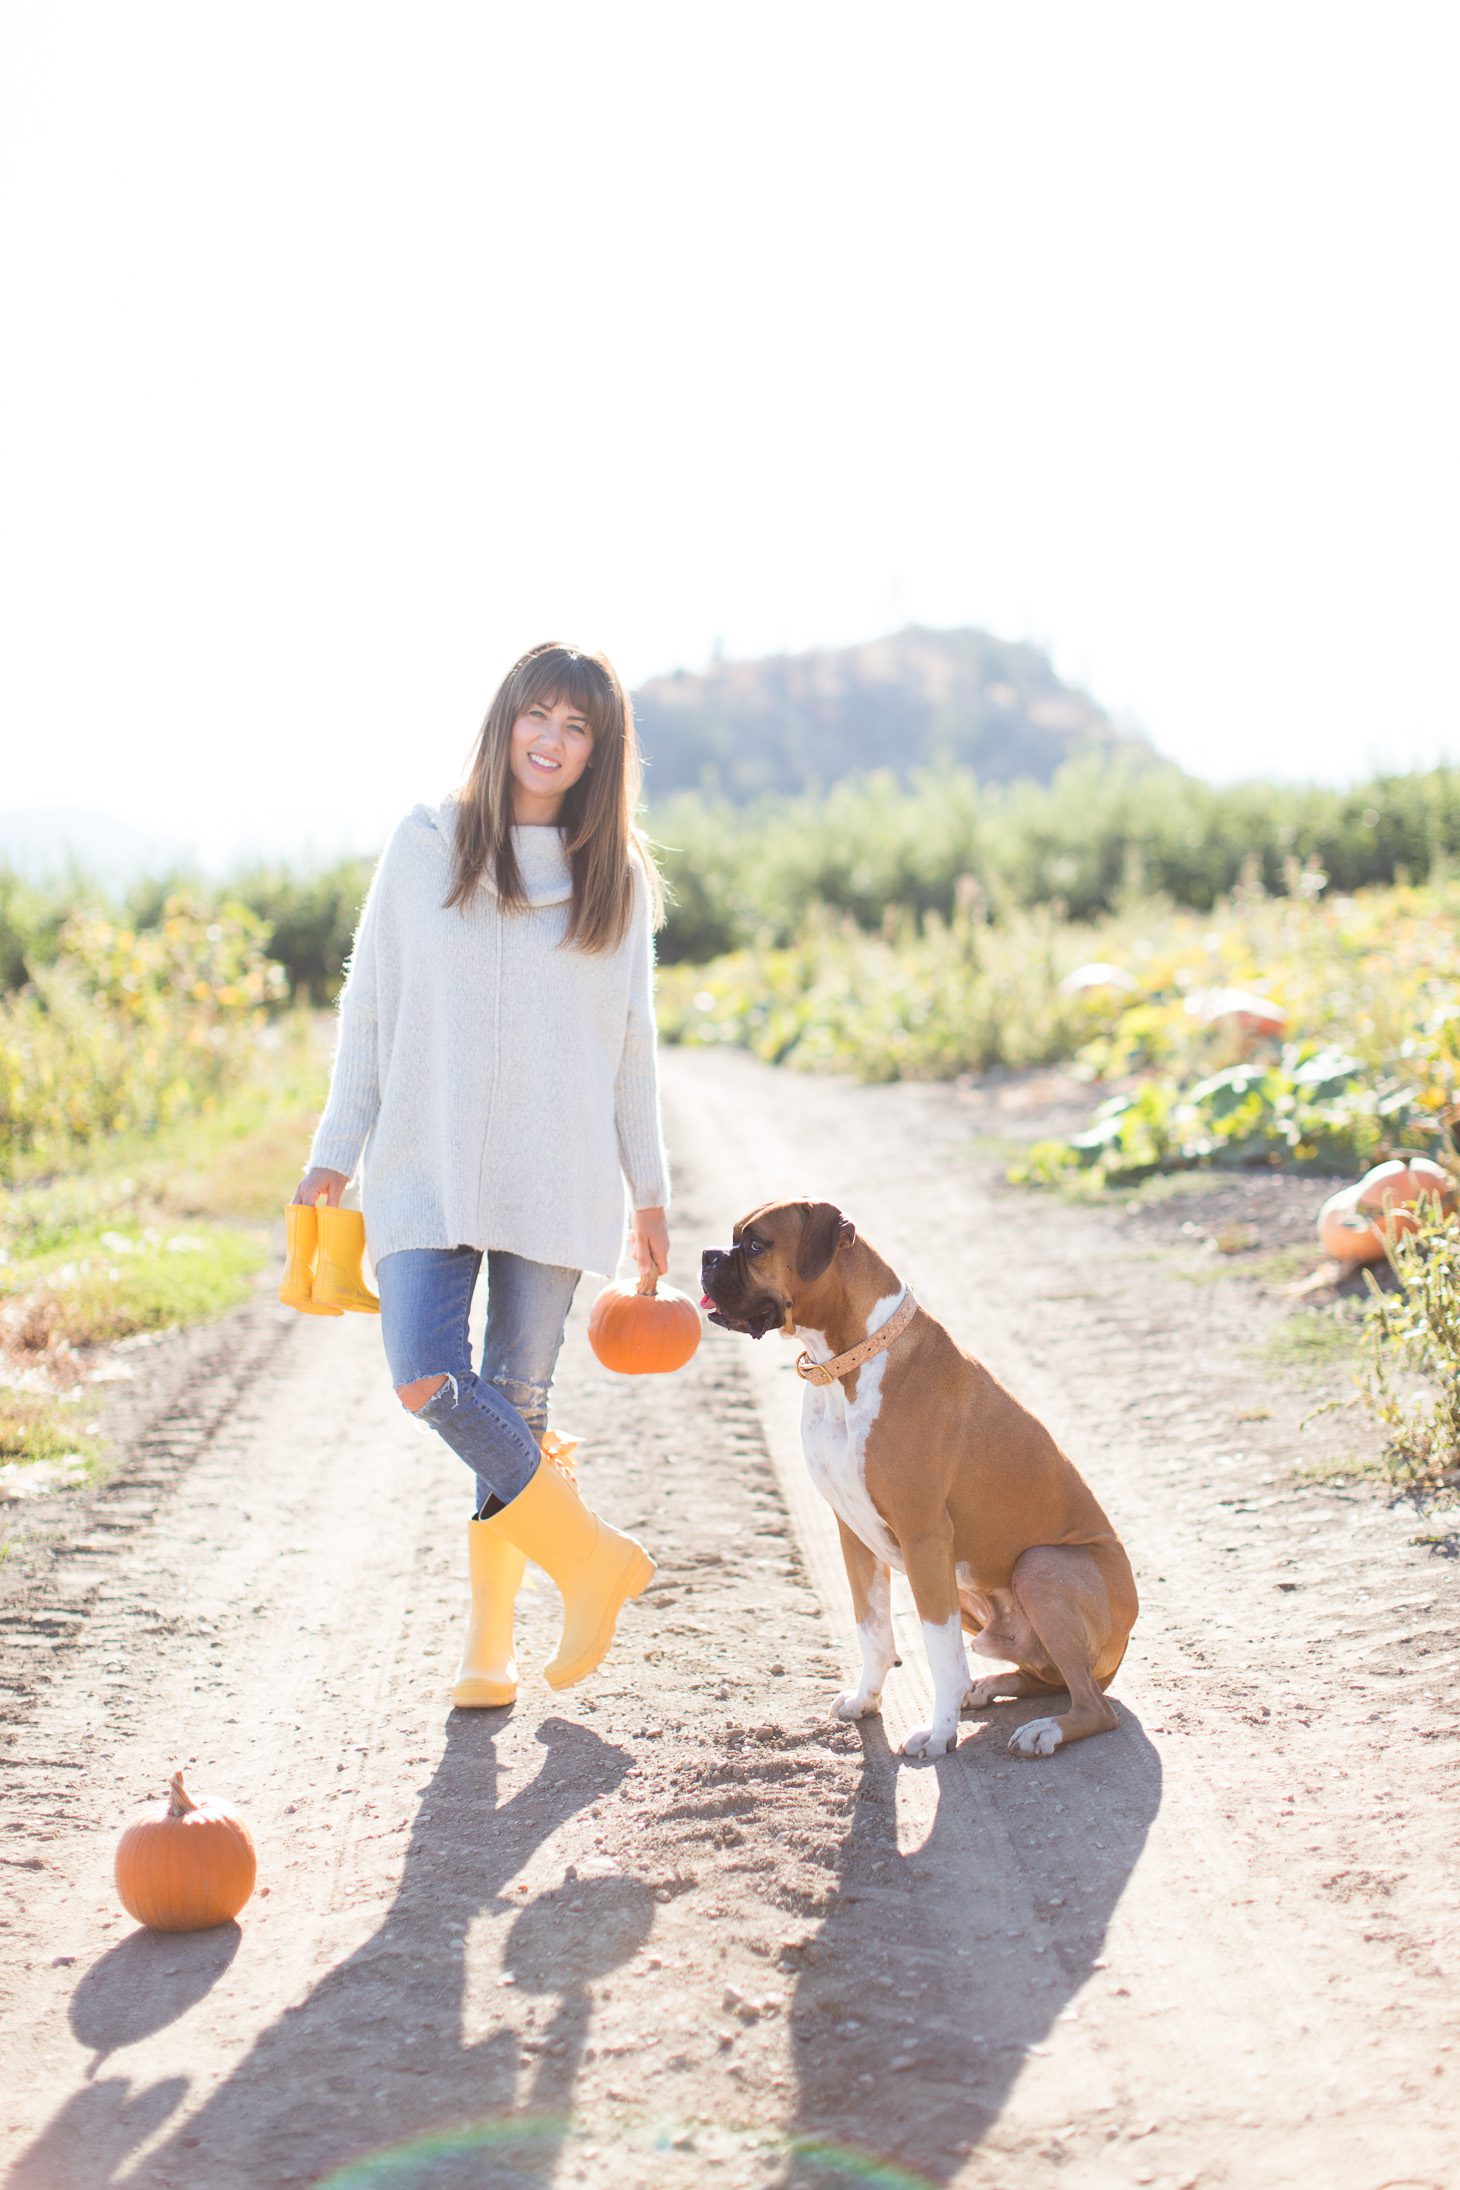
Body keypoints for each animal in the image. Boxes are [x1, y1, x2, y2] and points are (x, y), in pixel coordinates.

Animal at [700, 1208, 1138, 1752]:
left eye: (756, 1245)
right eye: (733, 1239)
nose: (707, 1256)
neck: (847, 1363)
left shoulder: (924, 1539)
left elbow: (940, 1649)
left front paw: (939, 1731)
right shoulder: (854, 1535)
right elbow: (871, 1627)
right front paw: (866, 1700)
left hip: (1040, 1566)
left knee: (1094, 1706)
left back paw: (1046, 1729)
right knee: (1046, 1677)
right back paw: (988, 1688)